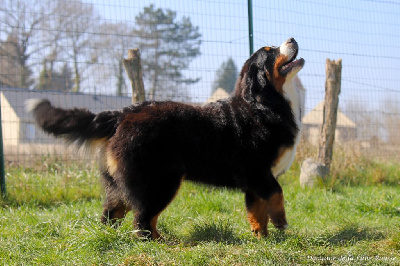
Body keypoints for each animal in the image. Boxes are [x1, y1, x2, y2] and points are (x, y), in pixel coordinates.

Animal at [27, 38, 304, 240]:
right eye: (270, 51)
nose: (292, 39)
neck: (263, 104)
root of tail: (124, 113)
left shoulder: (254, 180)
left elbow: (257, 210)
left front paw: (262, 237)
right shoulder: (257, 171)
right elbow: (276, 194)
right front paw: (281, 222)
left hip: (121, 185)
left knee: (112, 214)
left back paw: (111, 238)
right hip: (160, 182)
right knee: (143, 220)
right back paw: (161, 243)